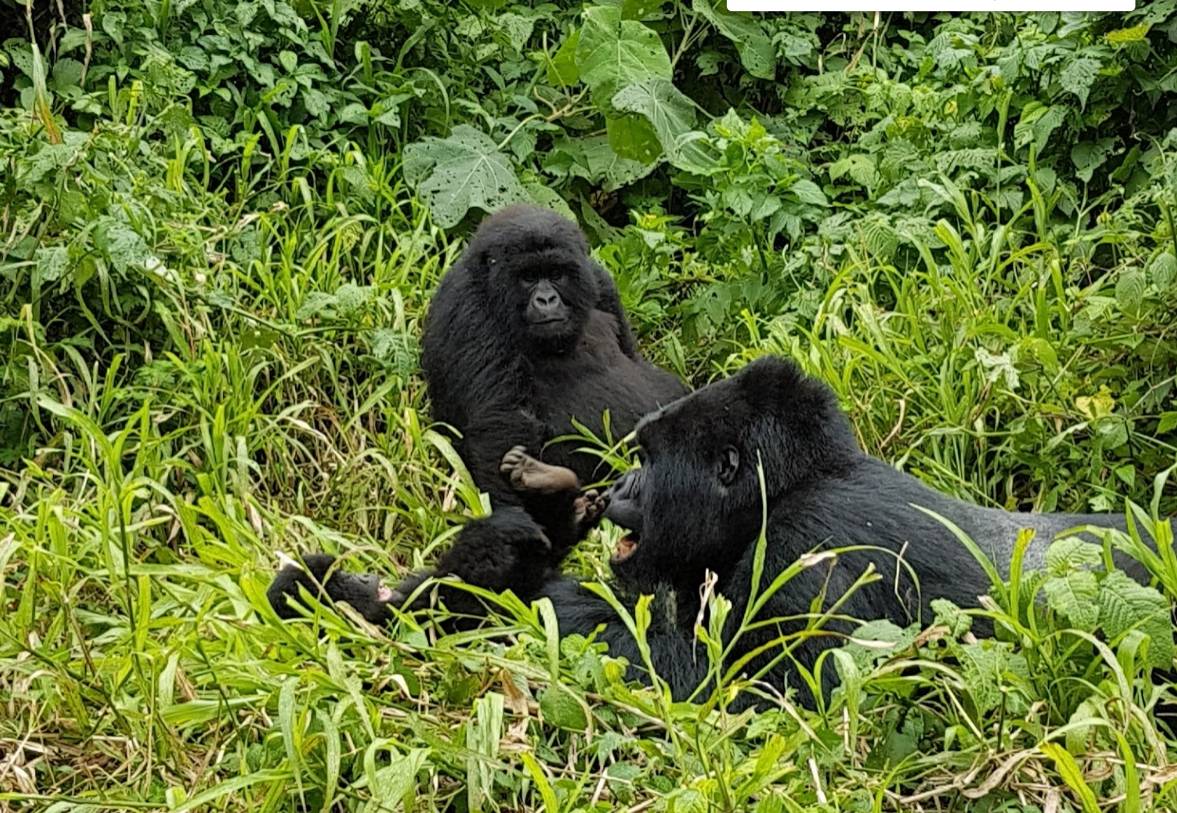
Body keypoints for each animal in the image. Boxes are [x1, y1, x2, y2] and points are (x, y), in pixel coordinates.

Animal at [269, 355, 1148, 705]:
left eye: (650, 459)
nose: (622, 486)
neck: (782, 489)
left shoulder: (807, 552)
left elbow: (731, 690)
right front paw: (512, 539)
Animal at [421, 204, 687, 508]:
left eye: (557, 274)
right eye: (528, 277)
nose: (546, 300)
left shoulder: (599, 280)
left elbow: (636, 359)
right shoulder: (470, 309)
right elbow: (501, 424)